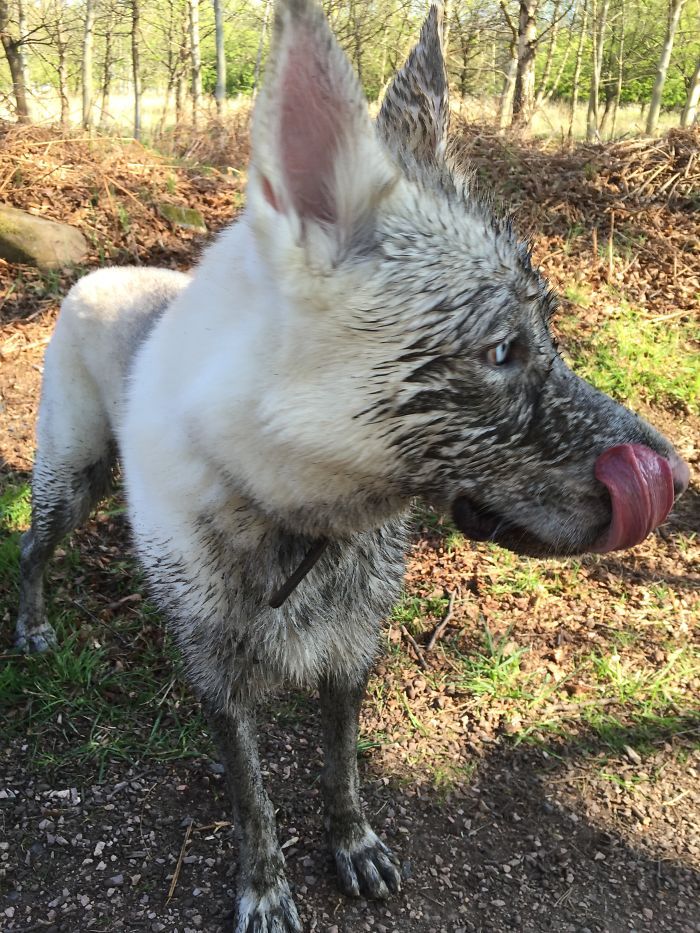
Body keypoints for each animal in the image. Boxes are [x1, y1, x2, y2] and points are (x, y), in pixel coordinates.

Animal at [15, 1, 688, 932]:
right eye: (502, 351)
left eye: (549, 332)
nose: (678, 478)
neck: (296, 521)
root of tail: (100, 272)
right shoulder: (222, 687)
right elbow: (254, 800)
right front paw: (265, 884)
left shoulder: (349, 661)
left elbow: (341, 769)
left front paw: (352, 841)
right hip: (70, 483)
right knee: (30, 550)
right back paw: (32, 623)